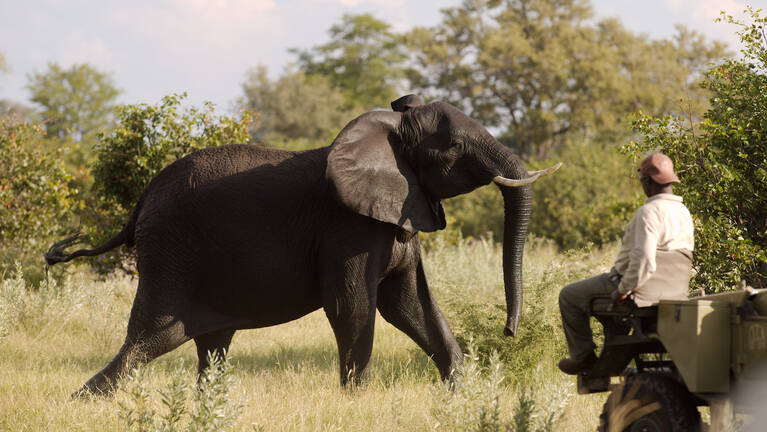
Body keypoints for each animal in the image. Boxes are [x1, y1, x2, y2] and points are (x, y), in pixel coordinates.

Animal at [46, 93, 560, 394]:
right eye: (453, 149)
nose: (509, 331)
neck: (387, 131)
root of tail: (142, 199)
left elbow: (410, 304)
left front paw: (465, 394)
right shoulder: (346, 228)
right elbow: (354, 304)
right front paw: (357, 402)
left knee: (210, 345)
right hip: (171, 251)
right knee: (152, 338)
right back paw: (85, 402)